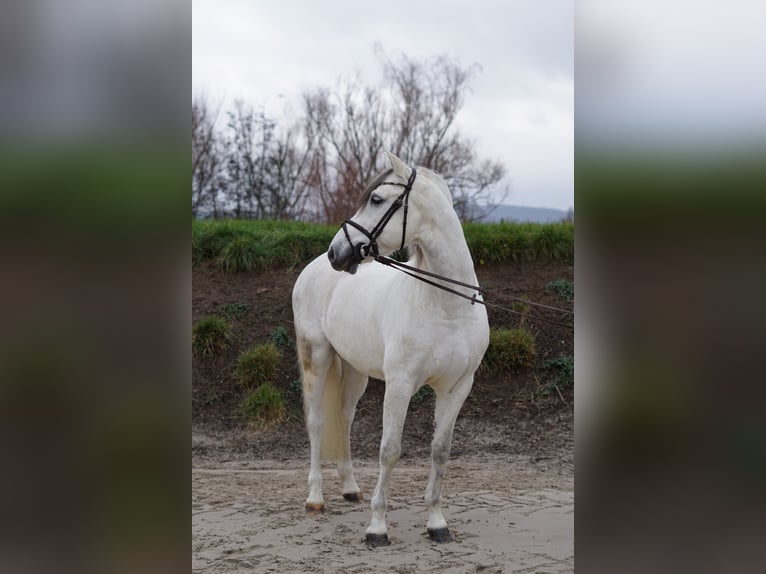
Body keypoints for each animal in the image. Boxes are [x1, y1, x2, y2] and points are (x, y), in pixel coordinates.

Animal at [292, 151, 488, 548]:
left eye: (377, 199)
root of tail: (313, 268)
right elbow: (390, 450)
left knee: (344, 419)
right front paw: (377, 528)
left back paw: (350, 489)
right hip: (317, 357)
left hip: (355, 371)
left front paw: (436, 523)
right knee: (317, 421)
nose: (338, 252)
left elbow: (440, 451)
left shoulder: (458, 387)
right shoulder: (400, 384)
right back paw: (316, 498)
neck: (448, 305)